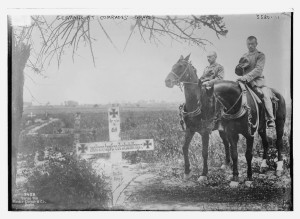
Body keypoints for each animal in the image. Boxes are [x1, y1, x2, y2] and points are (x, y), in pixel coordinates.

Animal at [165, 54, 288, 185]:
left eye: (181, 66)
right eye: (173, 65)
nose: (167, 81)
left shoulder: (205, 132)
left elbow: (205, 152)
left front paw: (204, 174)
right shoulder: (190, 129)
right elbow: (185, 148)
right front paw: (187, 172)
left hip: (279, 124)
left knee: (278, 142)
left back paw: (279, 168)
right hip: (254, 128)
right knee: (260, 142)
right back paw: (251, 165)